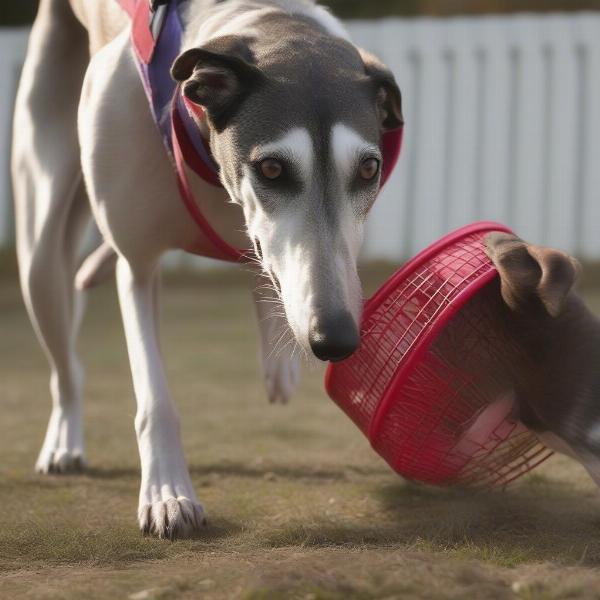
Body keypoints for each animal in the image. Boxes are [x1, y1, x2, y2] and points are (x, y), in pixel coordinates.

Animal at [11, 0, 404, 540]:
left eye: (368, 169)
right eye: (272, 168)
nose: (336, 339)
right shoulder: (138, 264)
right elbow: (154, 398)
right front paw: (167, 495)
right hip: (42, 252)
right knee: (65, 366)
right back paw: (65, 440)